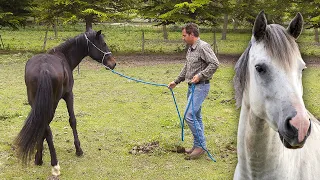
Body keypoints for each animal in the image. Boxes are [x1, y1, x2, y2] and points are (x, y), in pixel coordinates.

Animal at [14, 29, 116, 176]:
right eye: (103, 43)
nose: (113, 63)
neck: (64, 56)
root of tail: (44, 68)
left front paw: (38, 154)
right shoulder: (69, 95)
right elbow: (72, 120)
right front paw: (78, 150)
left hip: (36, 102)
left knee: (42, 124)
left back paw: (39, 159)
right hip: (53, 102)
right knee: (46, 126)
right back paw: (55, 164)